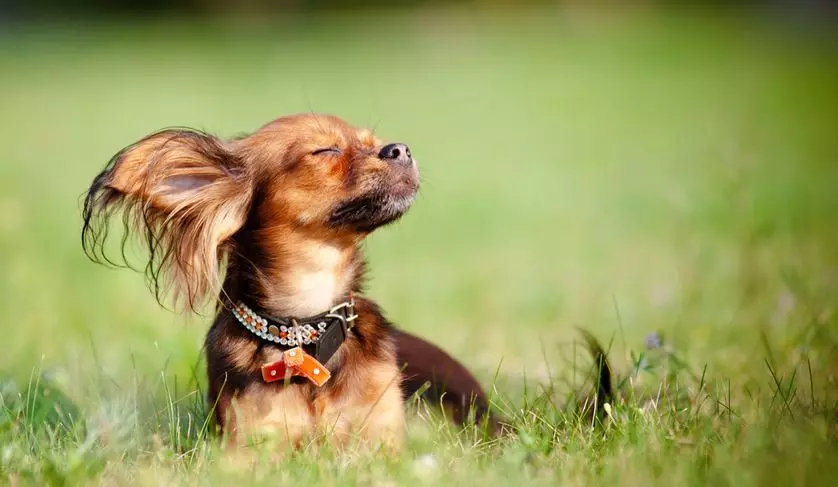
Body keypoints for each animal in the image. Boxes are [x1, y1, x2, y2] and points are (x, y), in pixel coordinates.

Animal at [80, 112, 512, 452]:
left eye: (372, 144)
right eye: (325, 151)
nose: (400, 149)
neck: (309, 324)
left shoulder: (381, 435)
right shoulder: (251, 443)